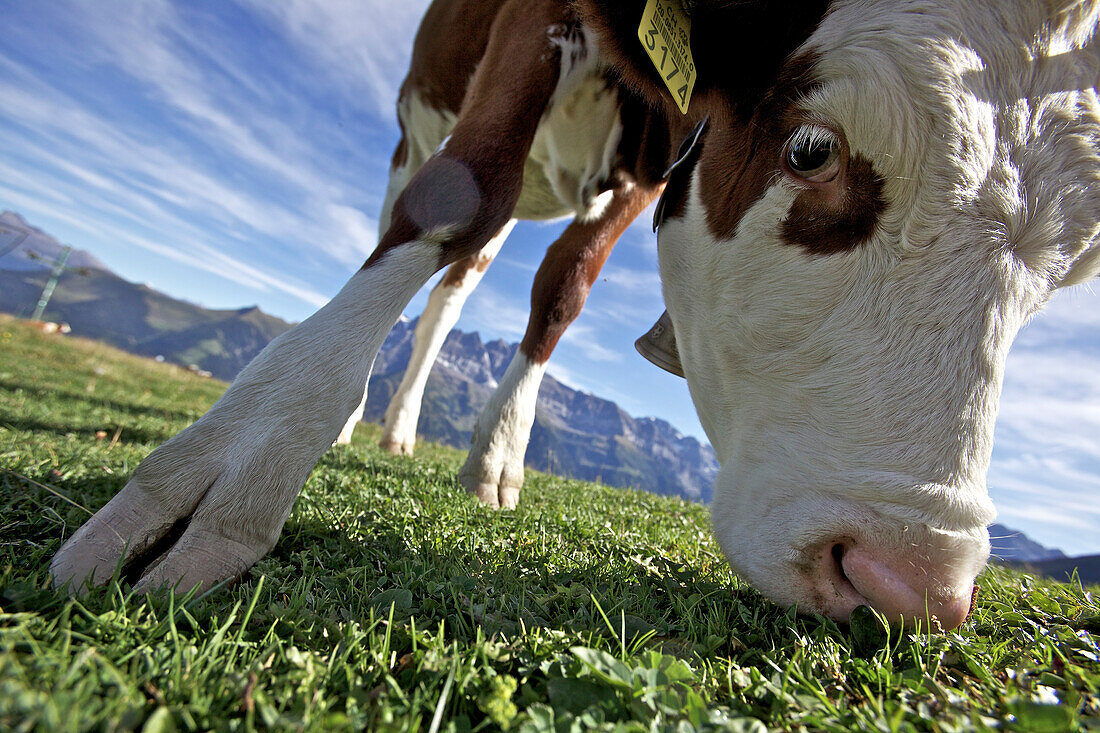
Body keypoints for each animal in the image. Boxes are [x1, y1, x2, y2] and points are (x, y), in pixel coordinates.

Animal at [49, 0, 1100, 629]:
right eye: (811, 148)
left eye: (1069, 271)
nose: (906, 582)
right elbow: (456, 193)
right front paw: (248, 454)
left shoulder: (654, 158)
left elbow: (566, 286)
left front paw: (497, 456)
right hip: (417, 121)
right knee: (424, 222)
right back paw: (350, 423)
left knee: (455, 292)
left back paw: (403, 431)